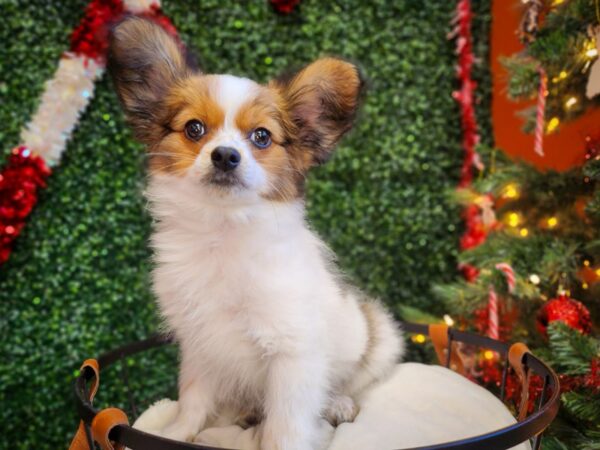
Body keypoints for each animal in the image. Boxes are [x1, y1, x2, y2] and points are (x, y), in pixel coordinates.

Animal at [110, 16, 406, 450]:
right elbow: (192, 398)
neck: (224, 231)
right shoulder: (199, 342)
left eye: (262, 136)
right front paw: (177, 432)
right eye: (194, 129)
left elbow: (285, 425)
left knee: (348, 383)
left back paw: (338, 404)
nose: (225, 156)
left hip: (376, 336)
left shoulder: (292, 353)